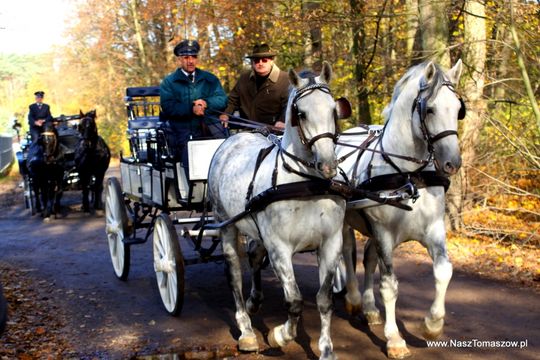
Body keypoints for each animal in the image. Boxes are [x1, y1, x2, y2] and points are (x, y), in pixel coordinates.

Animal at [207, 62, 346, 360]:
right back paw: (247, 330)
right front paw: (280, 335)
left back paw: (254, 302)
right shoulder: (280, 247)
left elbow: (325, 300)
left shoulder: (331, 243)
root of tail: (233, 139)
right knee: (234, 273)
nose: (328, 165)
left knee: (254, 258)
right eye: (300, 113)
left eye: (333, 110)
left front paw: (326, 349)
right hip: (226, 224)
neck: (306, 183)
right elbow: (294, 301)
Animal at [338, 60, 464, 358]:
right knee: (347, 251)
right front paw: (395, 339)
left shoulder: (433, 229)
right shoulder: (384, 233)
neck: (409, 175)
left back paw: (370, 309)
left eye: (458, 109)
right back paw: (354, 298)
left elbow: (443, 271)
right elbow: (390, 286)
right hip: (347, 220)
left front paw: (432, 324)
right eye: (430, 109)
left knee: (368, 259)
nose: (452, 163)